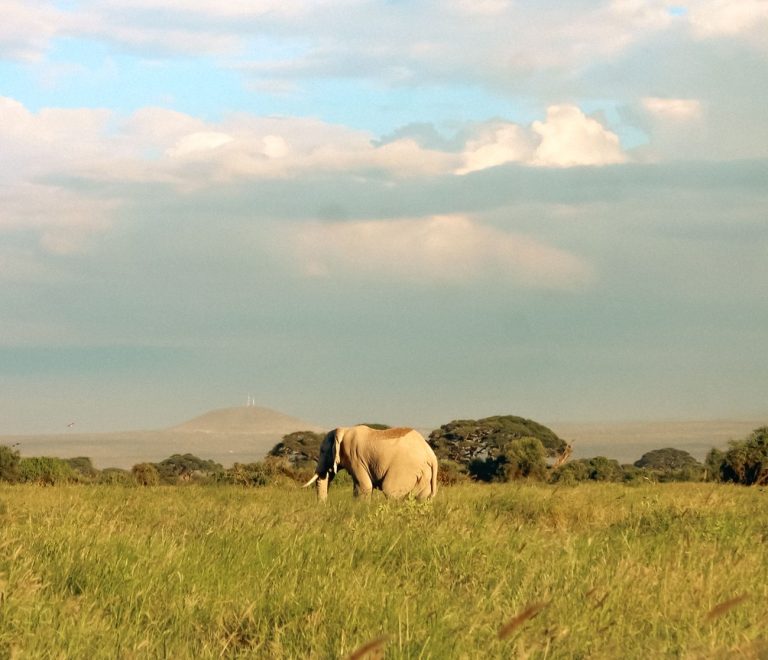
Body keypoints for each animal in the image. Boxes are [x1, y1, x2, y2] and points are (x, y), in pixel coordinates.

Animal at [303, 425, 438, 501]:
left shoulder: (355, 457)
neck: (344, 430)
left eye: (322, 451)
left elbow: (364, 487)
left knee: (390, 491)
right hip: (425, 473)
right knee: (421, 498)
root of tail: (432, 456)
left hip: (405, 468)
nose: (324, 506)